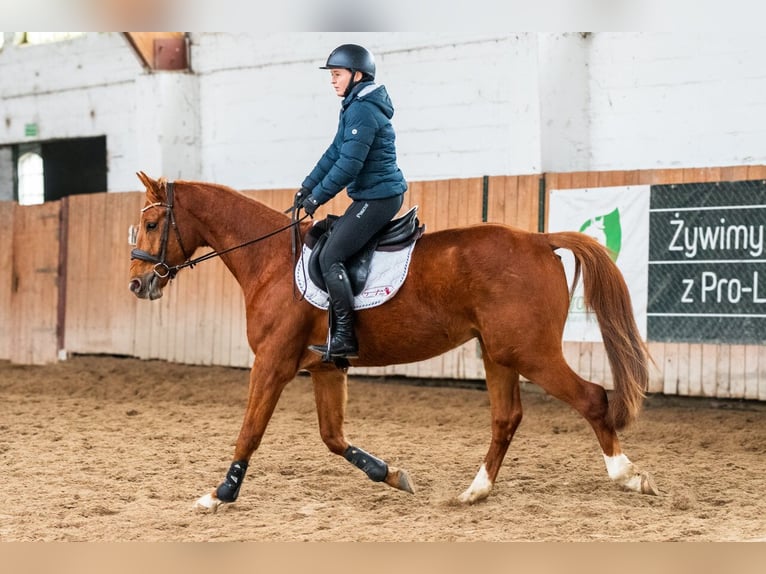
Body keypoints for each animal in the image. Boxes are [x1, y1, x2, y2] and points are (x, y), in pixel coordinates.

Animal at [129, 171, 656, 512]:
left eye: (153, 225)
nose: (138, 284)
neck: (270, 260)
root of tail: (539, 239)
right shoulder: (324, 367)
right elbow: (333, 438)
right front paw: (393, 476)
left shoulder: (273, 362)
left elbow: (250, 430)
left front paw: (220, 495)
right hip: (499, 353)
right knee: (507, 418)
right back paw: (474, 492)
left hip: (530, 352)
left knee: (592, 398)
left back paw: (628, 476)